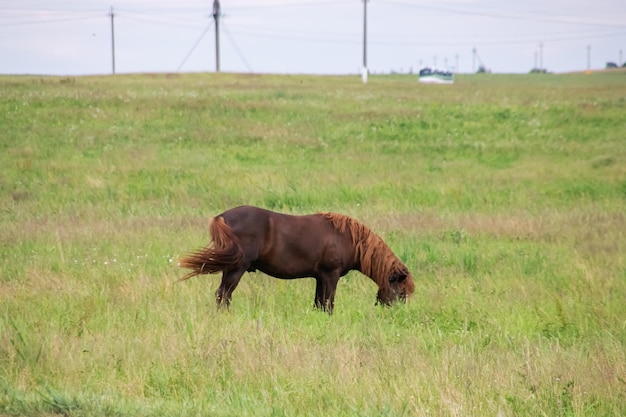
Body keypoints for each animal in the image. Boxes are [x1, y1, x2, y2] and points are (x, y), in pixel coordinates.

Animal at [178, 205, 412, 312]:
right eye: (401, 293)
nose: (394, 314)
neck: (347, 238)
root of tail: (222, 217)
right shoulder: (331, 276)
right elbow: (329, 304)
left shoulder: (320, 277)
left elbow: (319, 304)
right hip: (236, 268)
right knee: (223, 294)